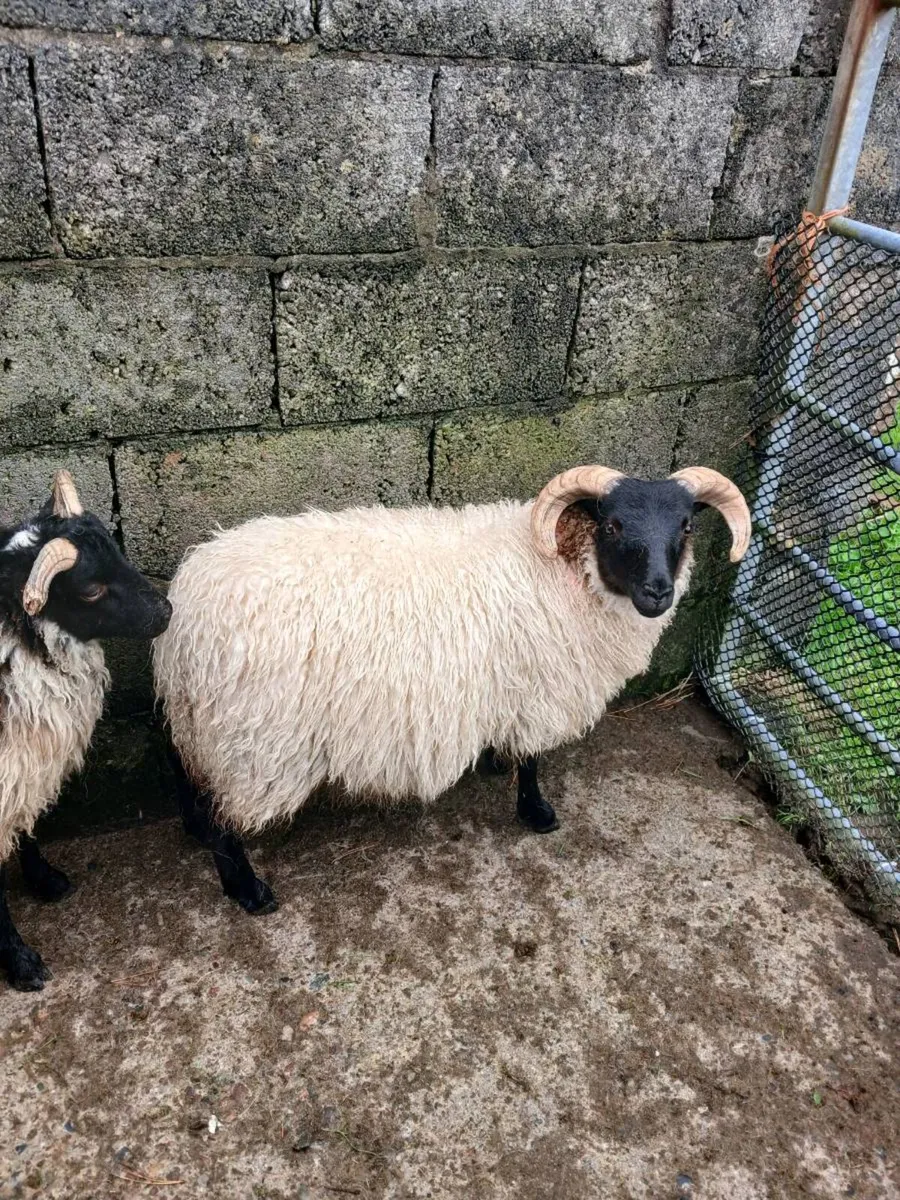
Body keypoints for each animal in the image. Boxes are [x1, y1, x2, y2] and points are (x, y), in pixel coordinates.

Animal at [0, 471, 171, 991]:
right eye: (91, 589)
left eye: (119, 552)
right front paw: (22, 964)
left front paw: (46, 880)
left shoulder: (22, 766)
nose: (167, 611)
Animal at [154, 465, 750, 914]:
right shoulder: (540, 688)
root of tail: (184, 612)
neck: (563, 568)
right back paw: (249, 893)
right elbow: (533, 761)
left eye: (685, 527)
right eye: (614, 525)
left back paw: (193, 831)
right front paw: (537, 813)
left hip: (198, 716)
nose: (658, 593)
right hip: (252, 739)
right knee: (225, 820)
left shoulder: (505, 683)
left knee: (184, 770)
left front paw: (492, 762)